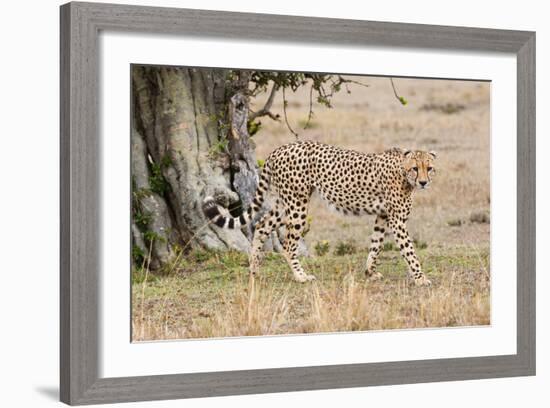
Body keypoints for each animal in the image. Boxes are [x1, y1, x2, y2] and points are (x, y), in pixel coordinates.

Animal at [205, 142, 438, 286]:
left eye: (429, 168)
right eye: (415, 168)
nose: (424, 182)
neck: (403, 172)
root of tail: (280, 149)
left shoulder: (382, 216)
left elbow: (376, 245)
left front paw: (370, 272)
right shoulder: (397, 220)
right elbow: (409, 251)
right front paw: (420, 278)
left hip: (285, 202)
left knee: (262, 225)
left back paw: (254, 270)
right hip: (298, 205)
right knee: (288, 245)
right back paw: (300, 276)